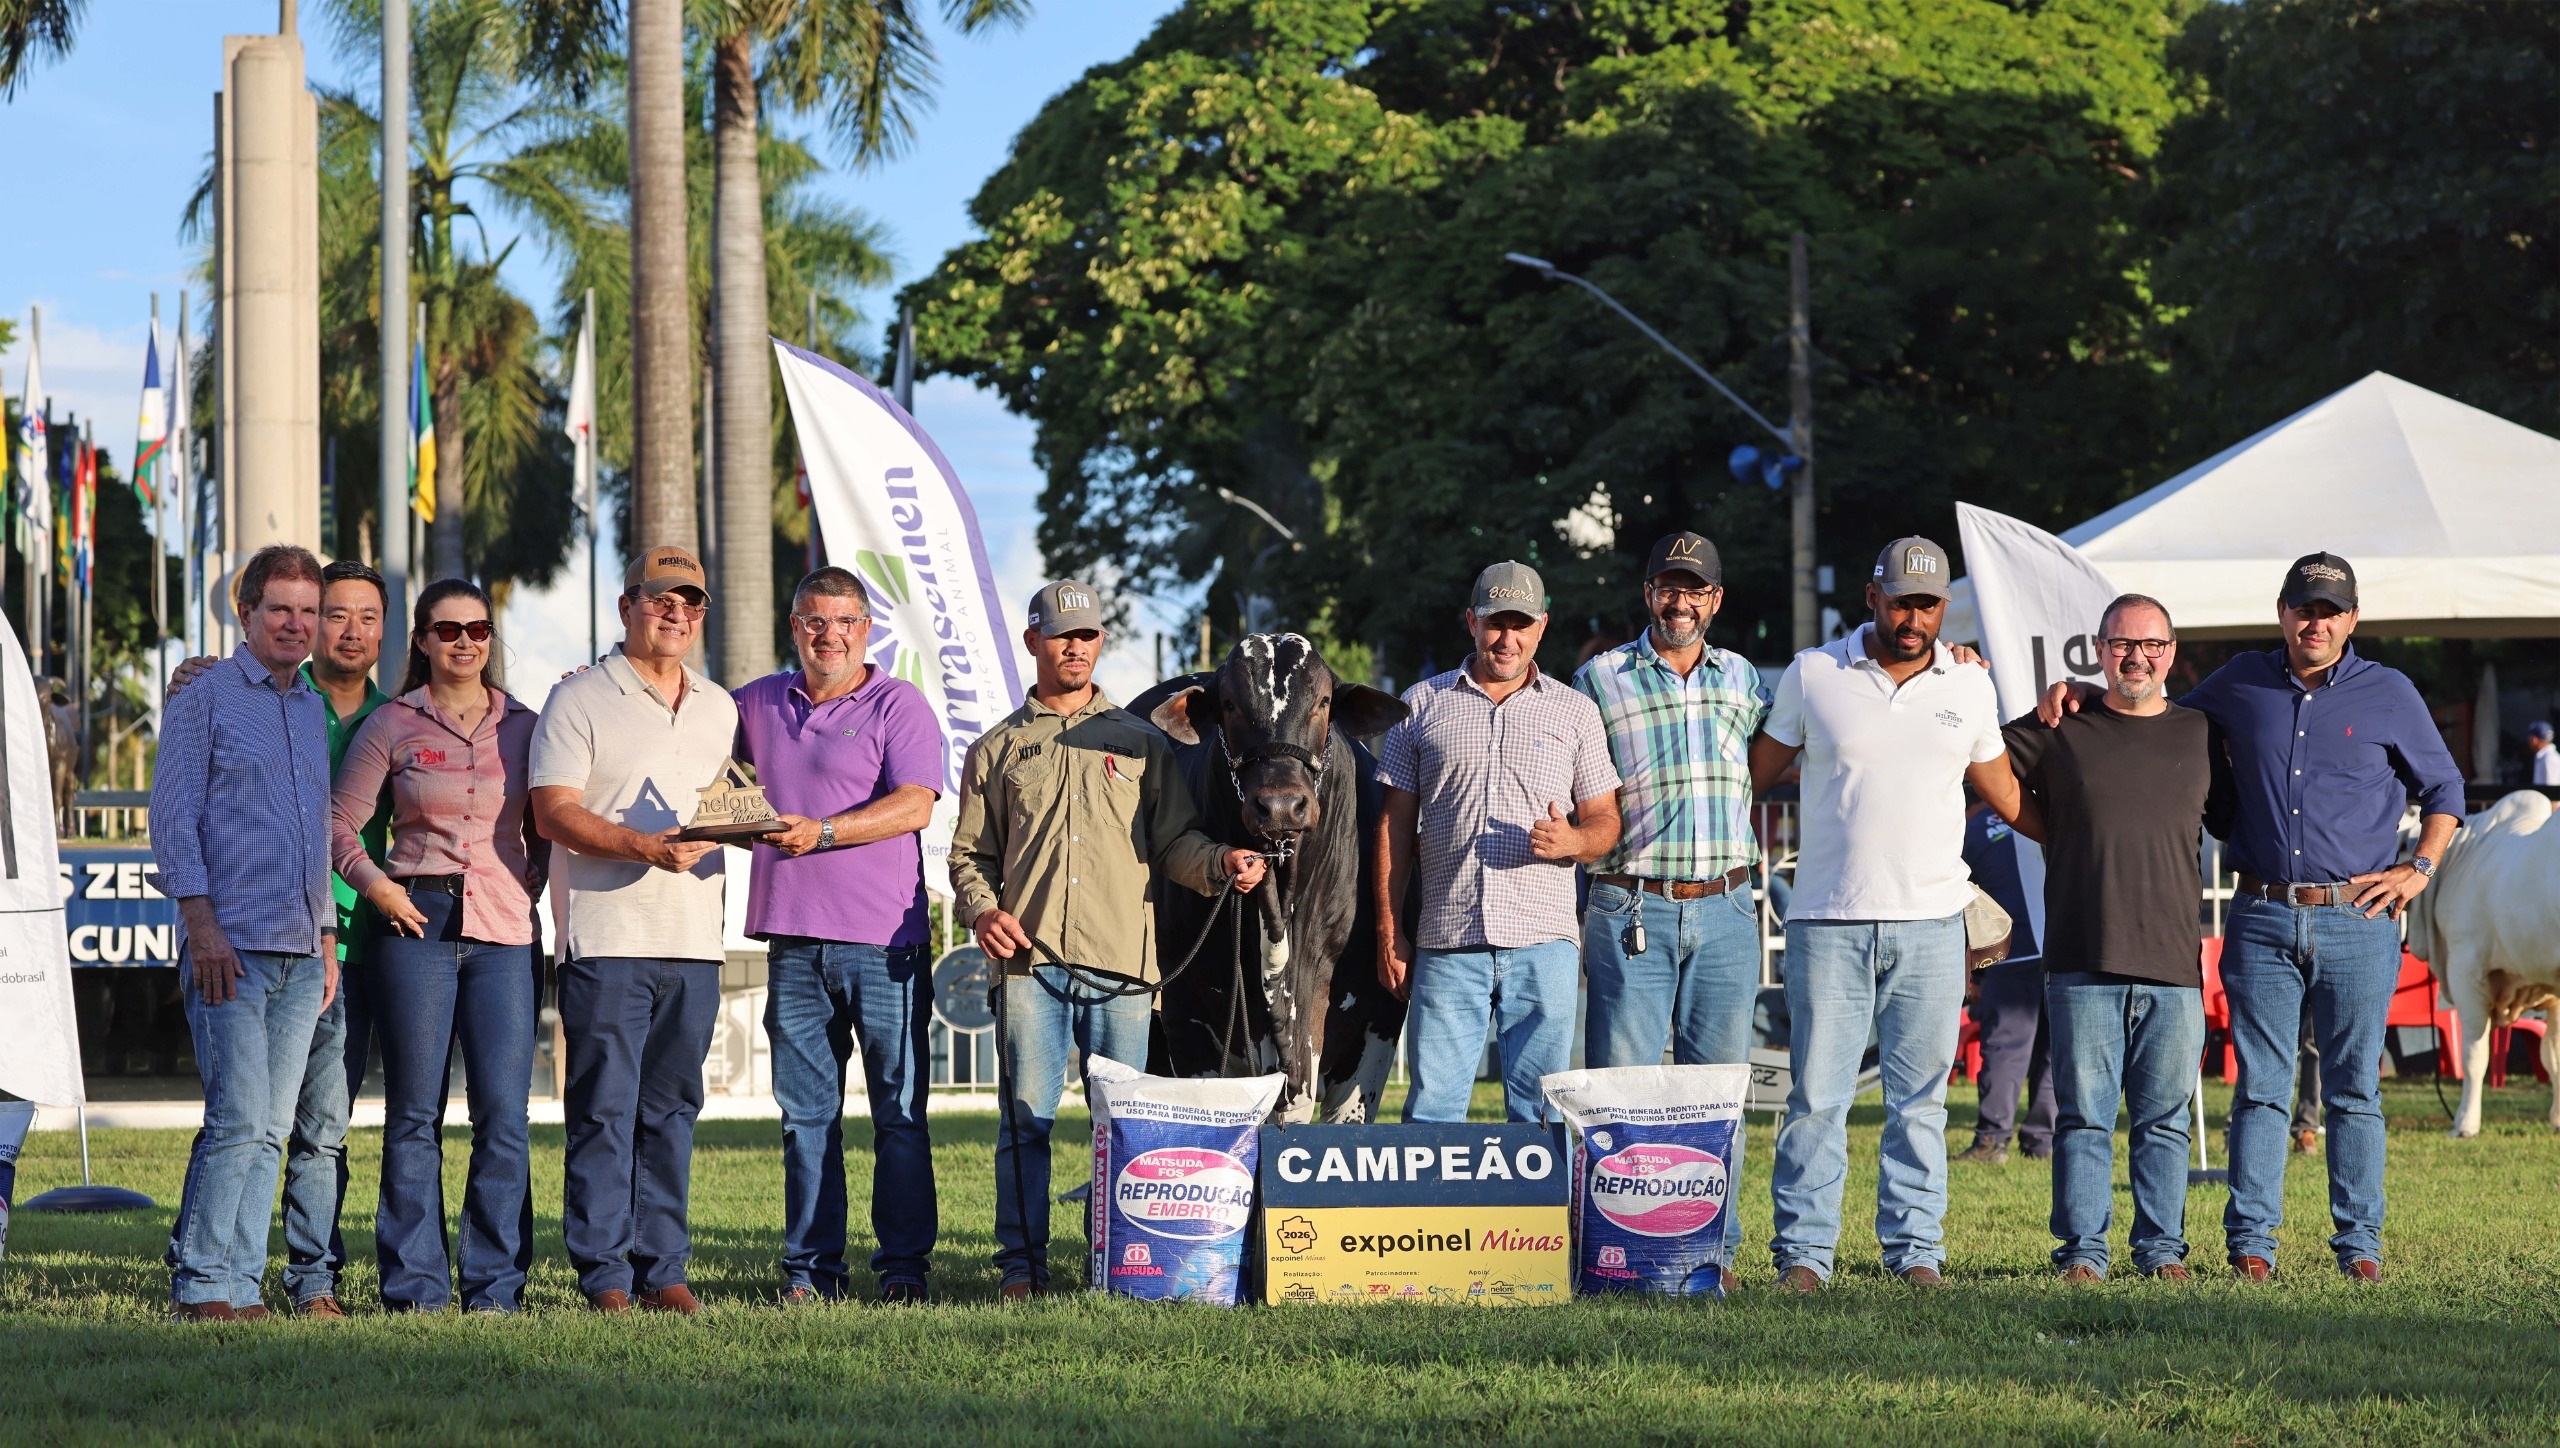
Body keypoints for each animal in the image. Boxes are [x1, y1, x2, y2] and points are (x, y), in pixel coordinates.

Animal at [2402, 790, 2560, 1137]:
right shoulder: (2550, 989)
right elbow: (2553, 1056)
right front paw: (2558, 1119)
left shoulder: (2465, 970)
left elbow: (2474, 1055)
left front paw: (2464, 1124)